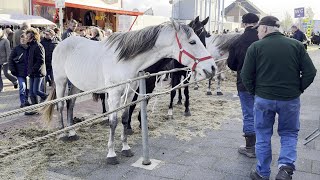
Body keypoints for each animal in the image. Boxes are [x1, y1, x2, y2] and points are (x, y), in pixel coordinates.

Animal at [43, 19, 218, 165]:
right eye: (192, 41)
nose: (212, 67)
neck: (124, 61)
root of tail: (62, 43)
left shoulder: (129, 93)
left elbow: (125, 118)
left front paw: (126, 148)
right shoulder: (114, 94)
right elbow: (113, 122)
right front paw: (111, 154)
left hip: (77, 85)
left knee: (71, 105)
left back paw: (72, 132)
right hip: (61, 81)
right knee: (60, 106)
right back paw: (62, 134)